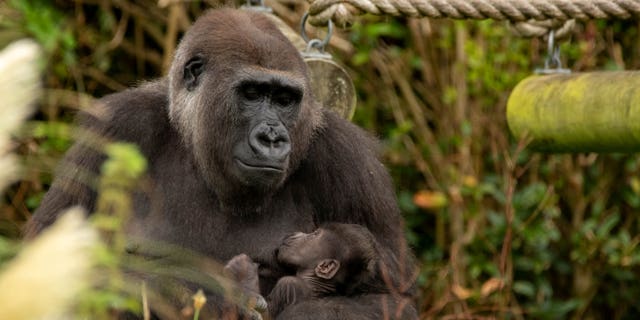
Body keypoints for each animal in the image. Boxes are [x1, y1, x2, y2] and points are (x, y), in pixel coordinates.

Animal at [25, 8, 418, 318]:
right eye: (252, 93)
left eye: (285, 99)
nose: (273, 139)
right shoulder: (113, 127)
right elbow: (50, 267)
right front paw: (200, 296)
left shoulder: (348, 156)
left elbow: (390, 298)